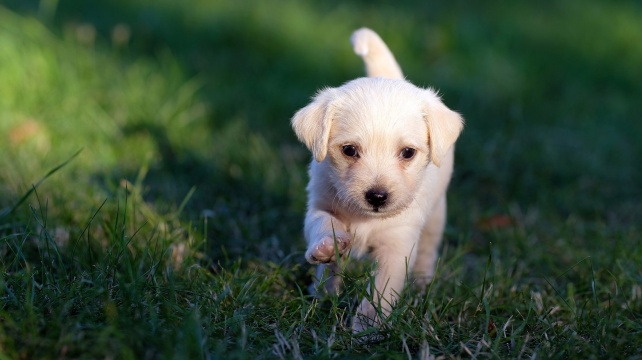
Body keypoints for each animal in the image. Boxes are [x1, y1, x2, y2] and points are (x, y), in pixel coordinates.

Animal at [290, 28, 460, 332]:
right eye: (349, 150)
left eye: (408, 153)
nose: (377, 197)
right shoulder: (320, 204)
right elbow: (323, 224)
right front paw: (327, 246)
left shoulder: (397, 246)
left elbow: (380, 293)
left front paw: (366, 329)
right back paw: (322, 292)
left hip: (436, 216)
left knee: (428, 250)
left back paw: (422, 282)